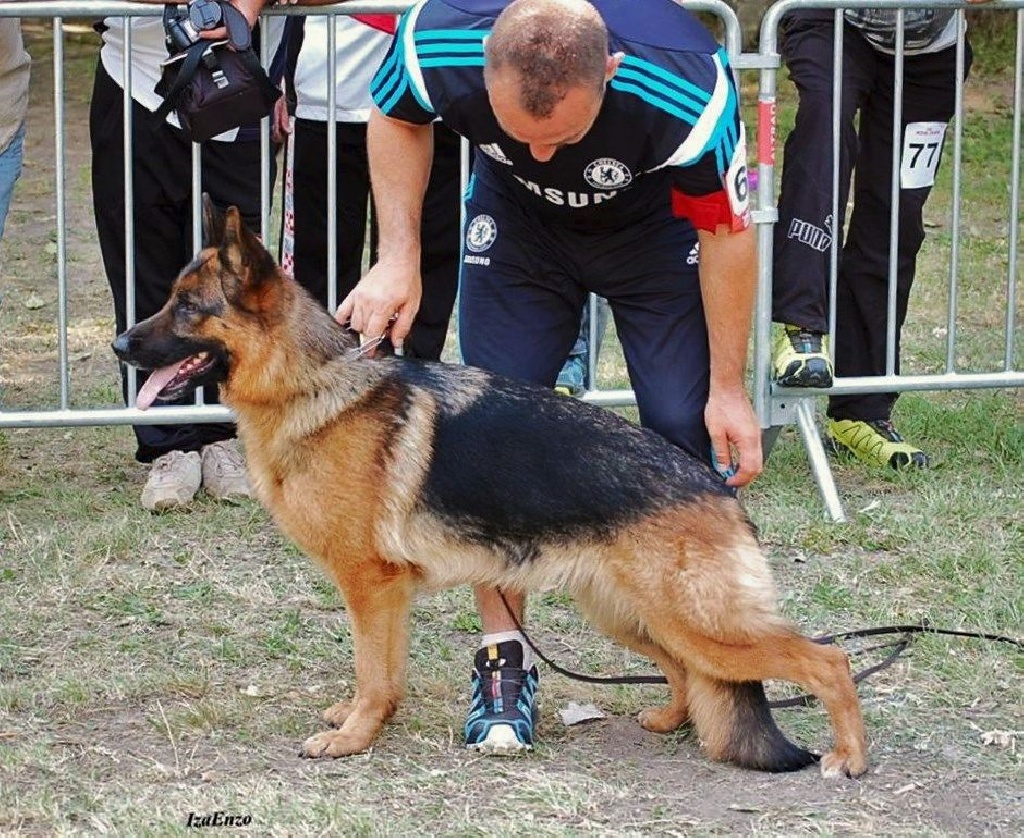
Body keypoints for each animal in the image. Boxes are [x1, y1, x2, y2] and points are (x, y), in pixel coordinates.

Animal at [110, 198, 864, 774]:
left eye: (187, 307)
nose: (119, 345)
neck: (312, 386)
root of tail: (717, 487)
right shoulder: (380, 594)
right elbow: (379, 671)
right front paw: (359, 721)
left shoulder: (371, 585)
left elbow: (374, 672)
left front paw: (353, 736)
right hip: (630, 614)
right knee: (685, 670)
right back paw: (668, 718)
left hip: (700, 623)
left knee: (827, 659)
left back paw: (848, 757)